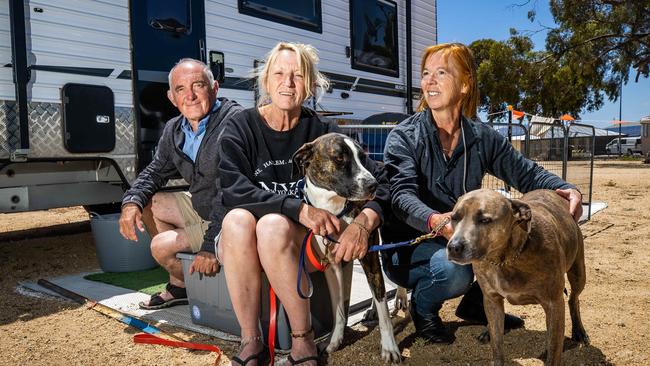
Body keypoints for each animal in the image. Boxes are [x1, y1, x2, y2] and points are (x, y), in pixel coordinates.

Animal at [292, 132, 400, 364]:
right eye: (340, 158)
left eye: (362, 157)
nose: (374, 184)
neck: (333, 208)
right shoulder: (332, 265)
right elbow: (339, 309)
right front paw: (335, 340)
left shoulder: (368, 256)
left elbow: (384, 309)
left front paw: (389, 347)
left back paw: (402, 299)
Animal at [446, 189, 588, 366]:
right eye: (454, 217)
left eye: (485, 220)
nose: (454, 247)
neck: (505, 259)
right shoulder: (492, 300)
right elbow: (497, 345)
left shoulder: (553, 303)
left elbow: (553, 350)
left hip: (578, 273)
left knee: (573, 299)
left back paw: (579, 331)